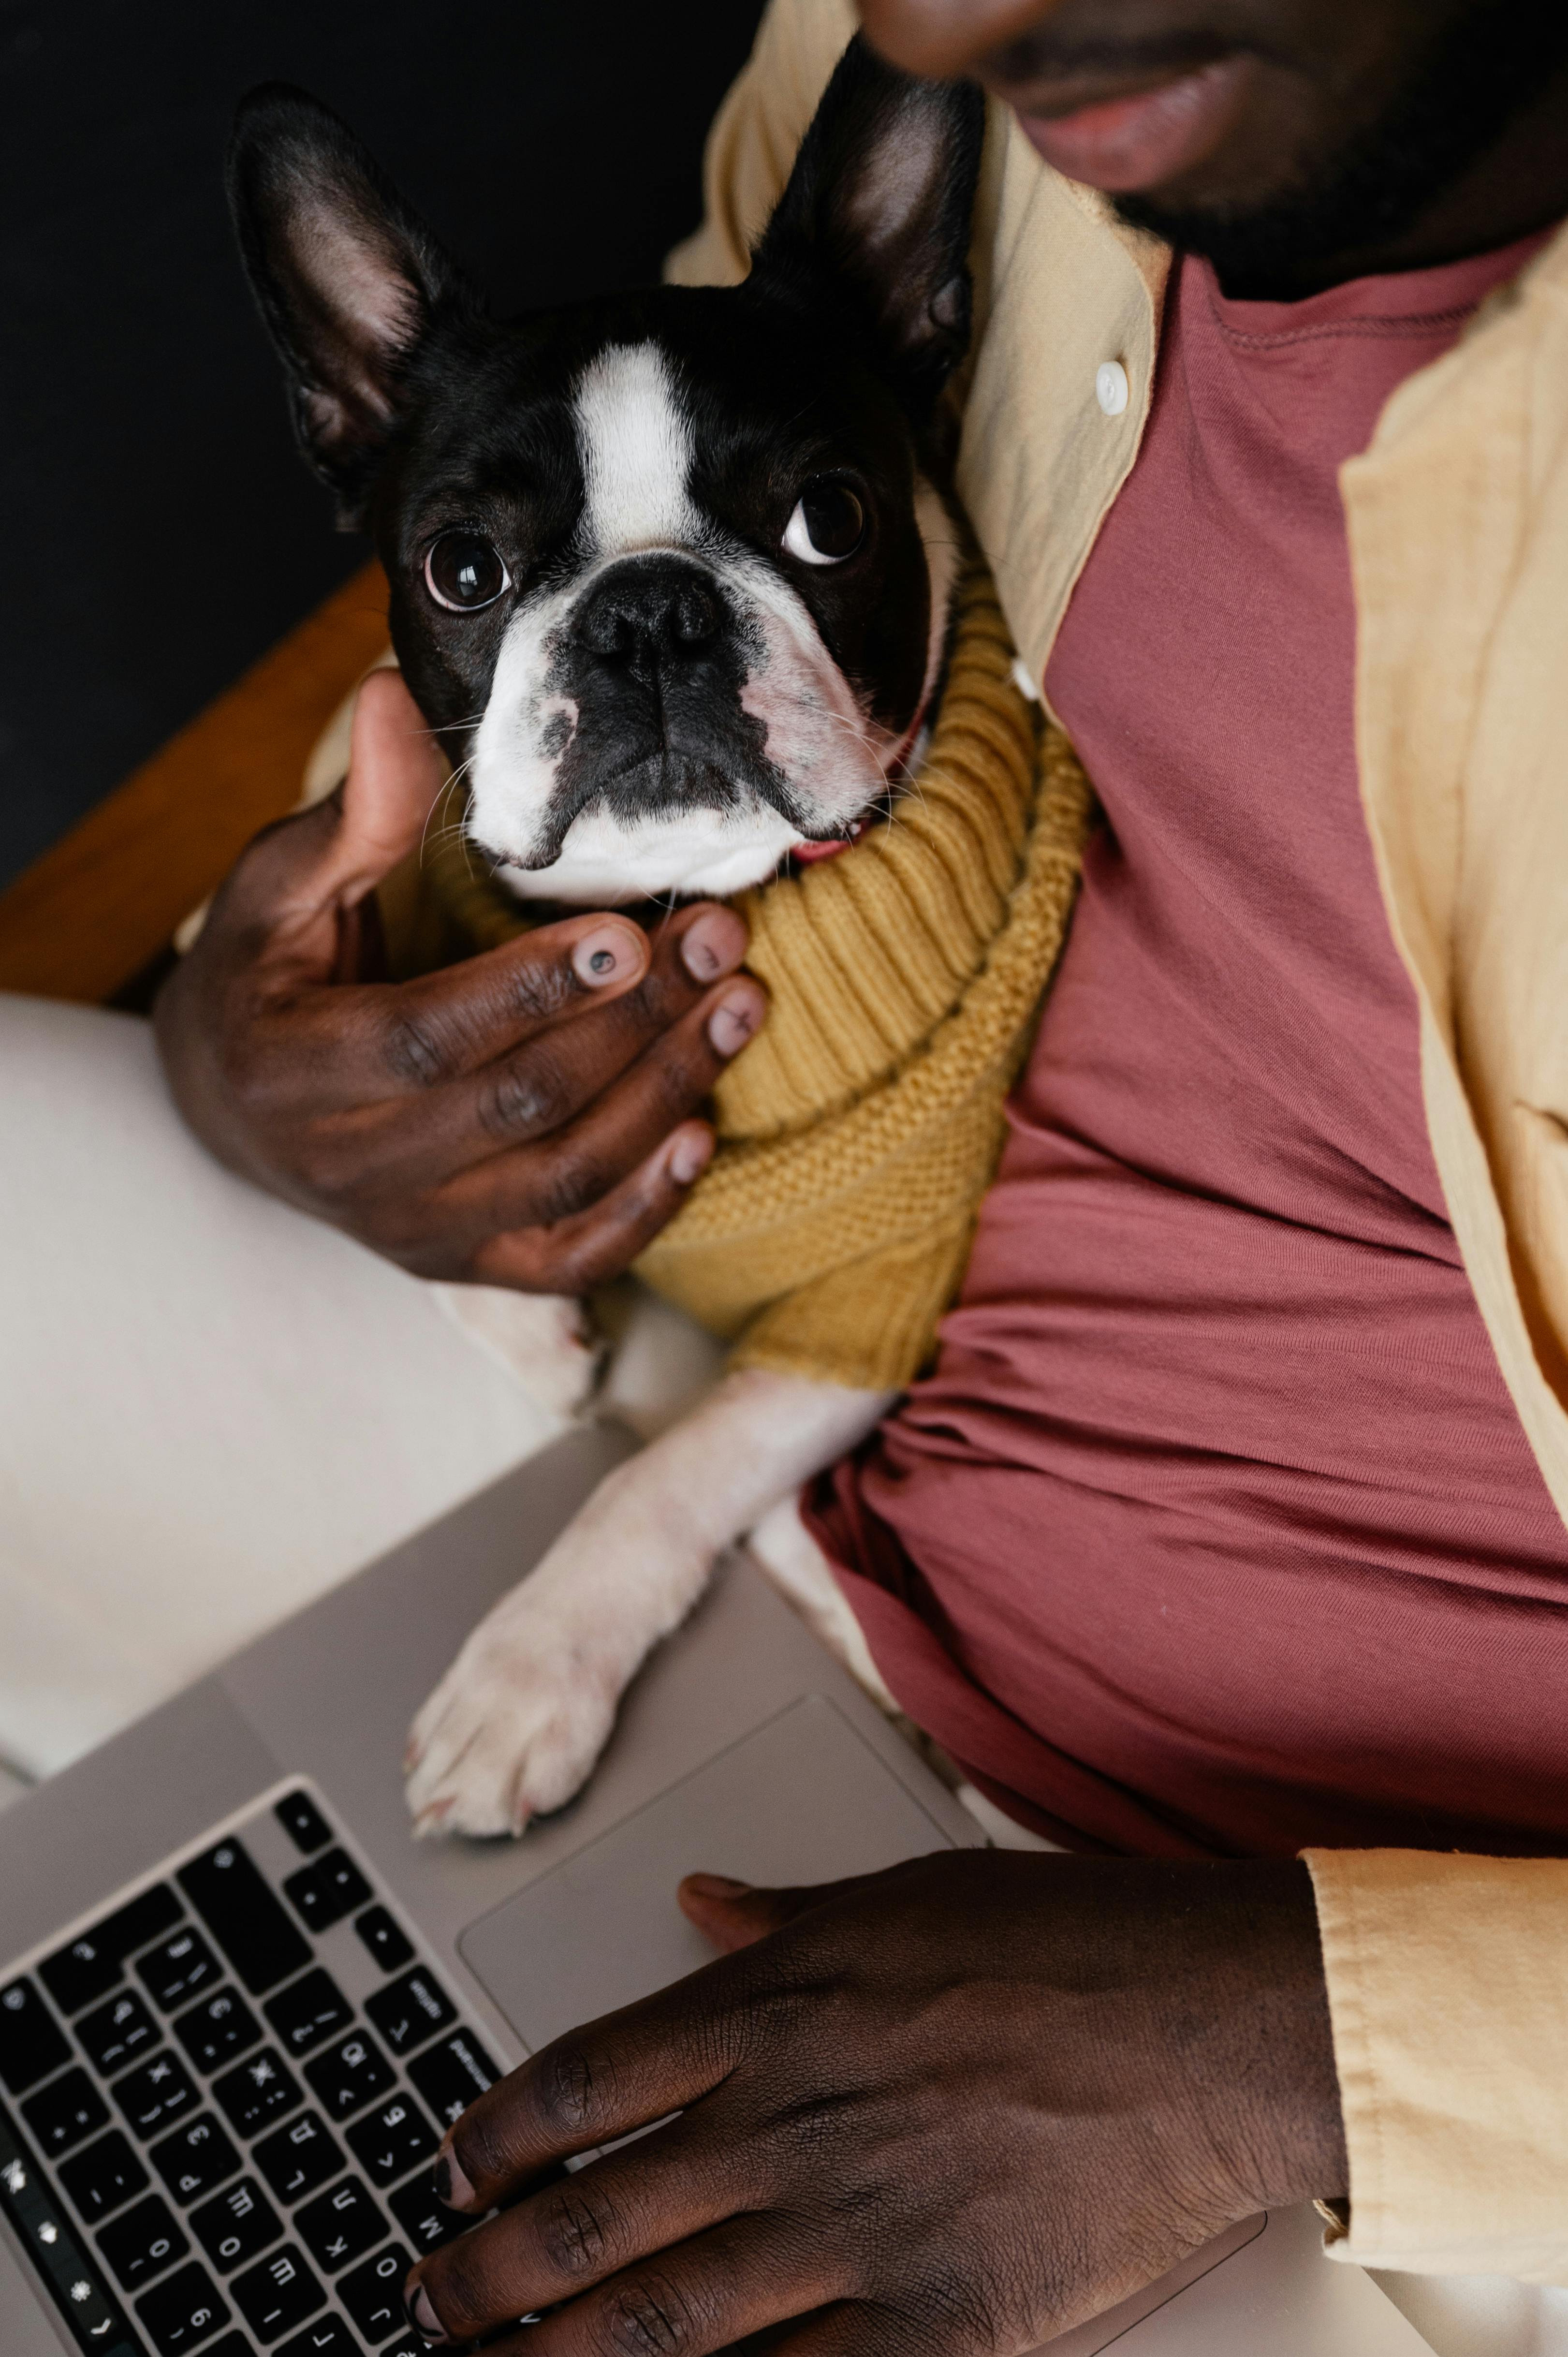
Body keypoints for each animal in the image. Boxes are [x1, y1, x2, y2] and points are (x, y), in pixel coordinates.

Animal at [226, 41, 985, 1838]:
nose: (648, 615)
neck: (681, 895)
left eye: (833, 520)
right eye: (462, 566)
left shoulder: (872, 1299)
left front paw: (527, 1671)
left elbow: (665, 1466)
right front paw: (528, 1324)